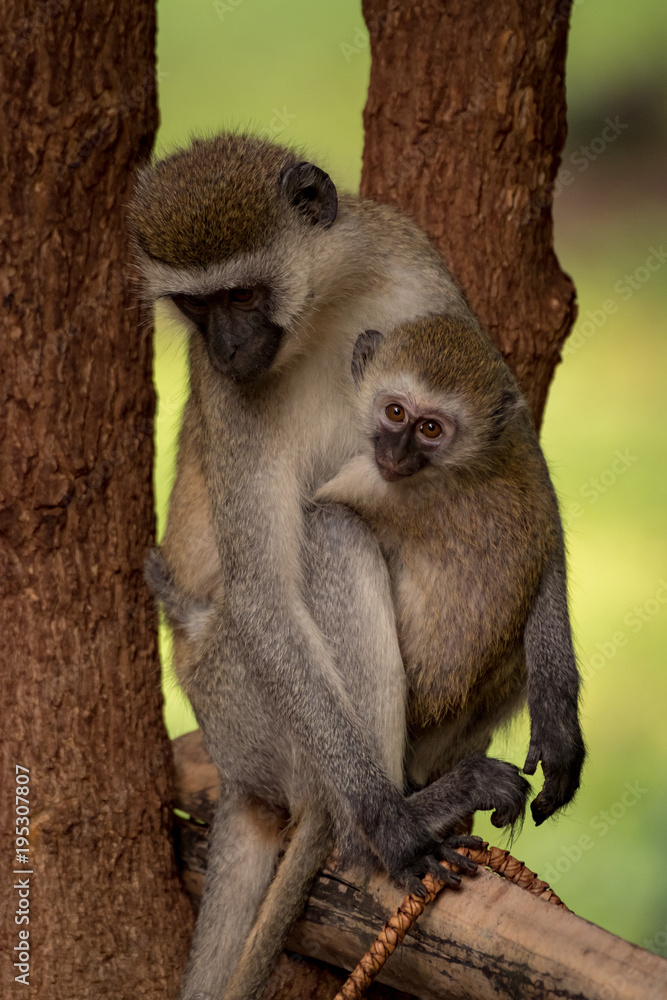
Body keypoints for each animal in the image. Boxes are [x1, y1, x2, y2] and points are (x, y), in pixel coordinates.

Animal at [130, 132, 531, 1000]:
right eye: (196, 308)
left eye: (242, 293)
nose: (225, 345)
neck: (323, 311)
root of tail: (237, 775)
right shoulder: (227, 393)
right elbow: (264, 592)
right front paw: (386, 822)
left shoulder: (414, 270)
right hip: (243, 701)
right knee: (331, 541)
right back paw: (376, 823)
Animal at [315, 317, 586, 823]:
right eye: (395, 412)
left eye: (430, 428)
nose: (397, 455)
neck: (458, 467)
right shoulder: (515, 454)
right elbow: (547, 546)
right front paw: (559, 725)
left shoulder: (378, 484)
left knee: (329, 521)